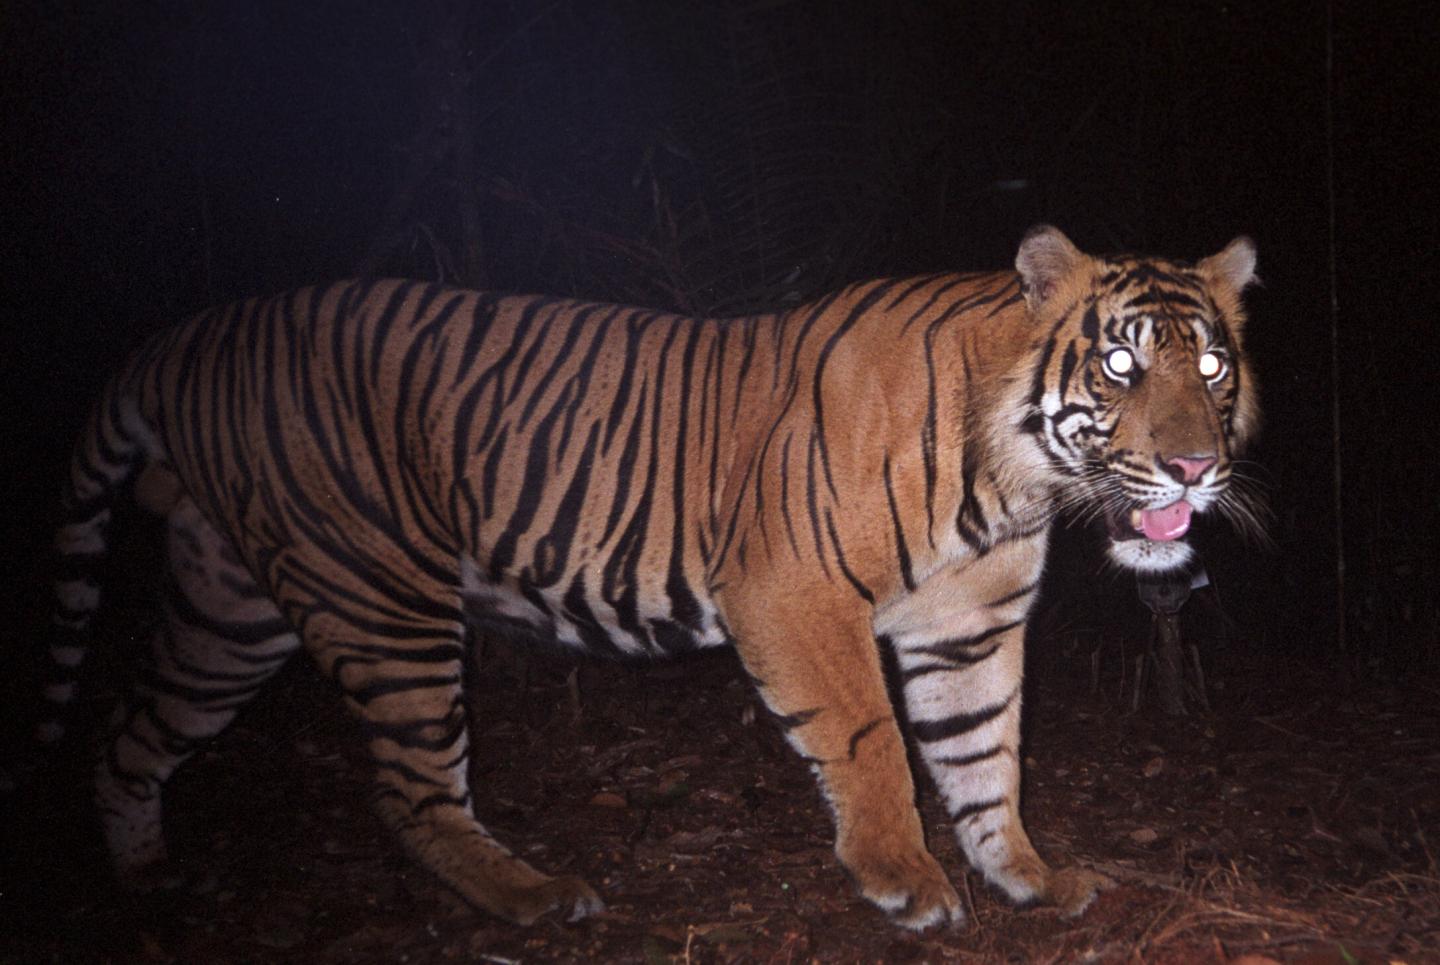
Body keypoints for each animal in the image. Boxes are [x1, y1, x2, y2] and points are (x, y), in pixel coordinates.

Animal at [37, 225, 1258, 930]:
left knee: (130, 734)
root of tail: (186, 338)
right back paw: (536, 897)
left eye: (1209, 363)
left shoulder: (969, 623)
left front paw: (1027, 877)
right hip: (384, 601)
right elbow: (872, 743)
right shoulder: (794, 593)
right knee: (408, 789)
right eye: (1121, 362)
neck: (1015, 479)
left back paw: (143, 875)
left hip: (235, 608)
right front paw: (902, 878)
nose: (1198, 466)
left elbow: (984, 756)